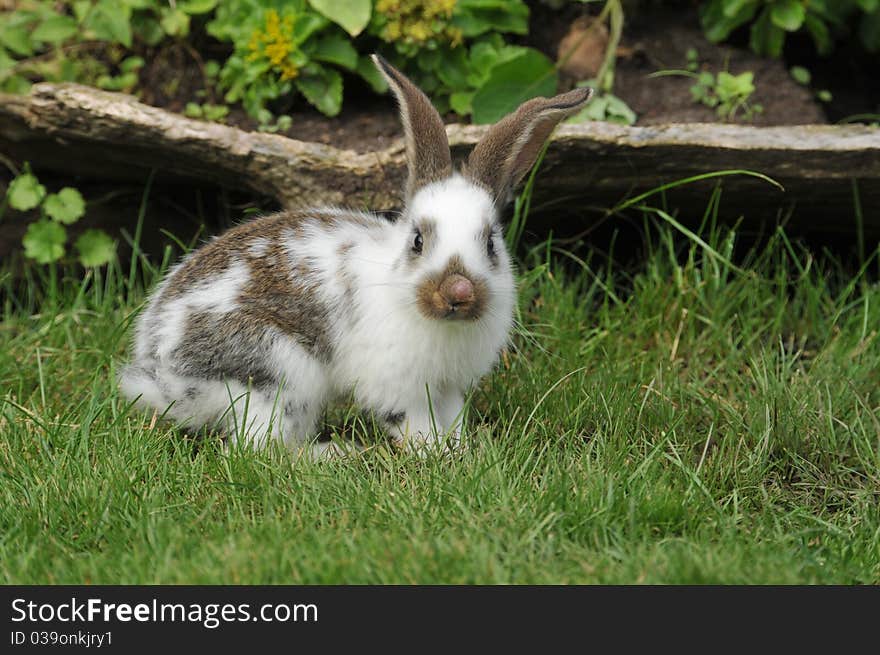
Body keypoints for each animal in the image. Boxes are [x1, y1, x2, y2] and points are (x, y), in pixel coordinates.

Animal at [117, 55, 596, 456]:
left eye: (491, 243)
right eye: (418, 241)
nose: (458, 292)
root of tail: (164, 378)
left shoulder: (447, 389)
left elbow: (453, 418)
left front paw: (463, 450)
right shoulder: (398, 387)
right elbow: (415, 423)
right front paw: (436, 454)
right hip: (279, 374)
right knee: (260, 451)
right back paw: (336, 455)